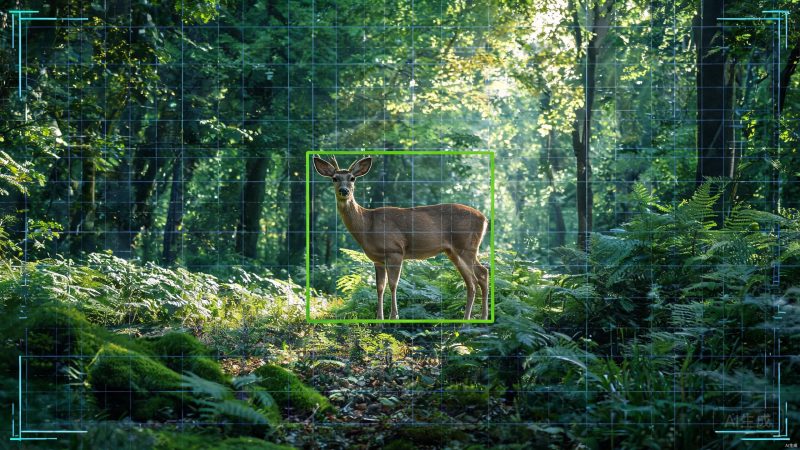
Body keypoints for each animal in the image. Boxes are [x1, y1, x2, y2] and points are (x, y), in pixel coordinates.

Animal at [313, 155, 489, 321]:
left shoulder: (395, 250)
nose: (344, 191)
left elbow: (393, 284)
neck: (367, 225)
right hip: (453, 251)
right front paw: (379, 318)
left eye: (352, 178)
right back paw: (467, 318)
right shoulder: (377, 259)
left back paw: (483, 317)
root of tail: (484, 219)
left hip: (467, 245)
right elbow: (379, 287)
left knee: (482, 273)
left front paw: (394, 316)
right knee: (471, 281)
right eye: (334, 178)